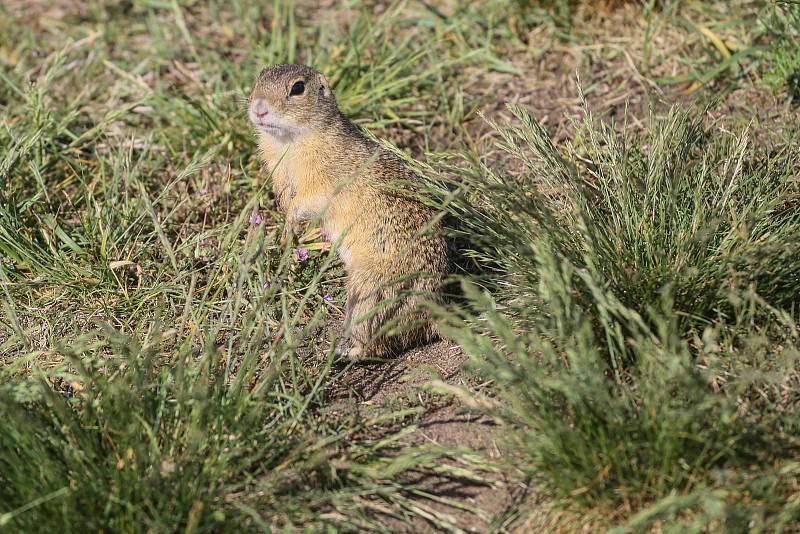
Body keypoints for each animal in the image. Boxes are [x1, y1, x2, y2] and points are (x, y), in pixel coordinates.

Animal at [248, 65, 450, 362]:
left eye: (297, 88)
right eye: (258, 78)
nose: (258, 109)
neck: (289, 141)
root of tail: (432, 313)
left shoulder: (325, 178)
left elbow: (309, 200)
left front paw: (290, 225)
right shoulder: (278, 171)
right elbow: (285, 197)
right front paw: (285, 234)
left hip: (368, 291)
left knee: (374, 343)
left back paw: (340, 351)